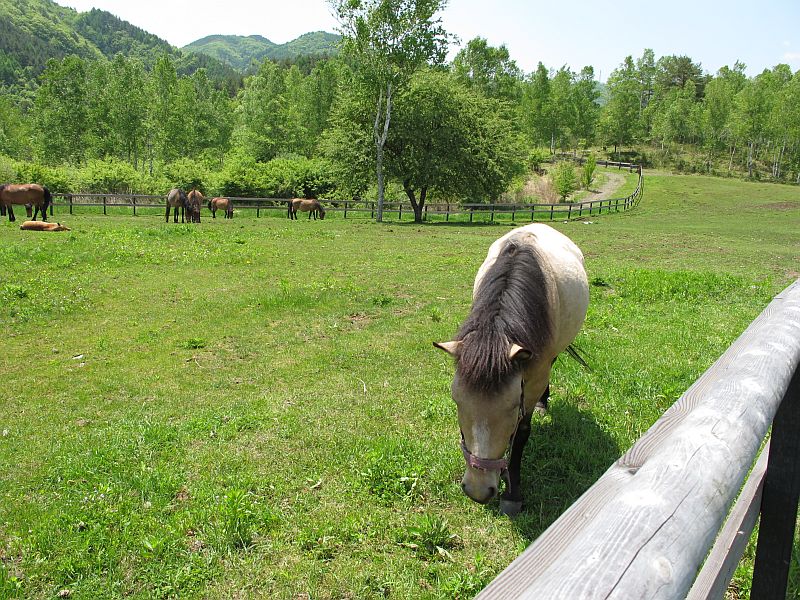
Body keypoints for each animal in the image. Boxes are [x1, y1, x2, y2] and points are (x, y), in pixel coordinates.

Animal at [434, 225, 592, 516]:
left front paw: (512, 493)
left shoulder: (533, 379)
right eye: (457, 402)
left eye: (512, 406)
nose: (478, 489)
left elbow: (521, 434)